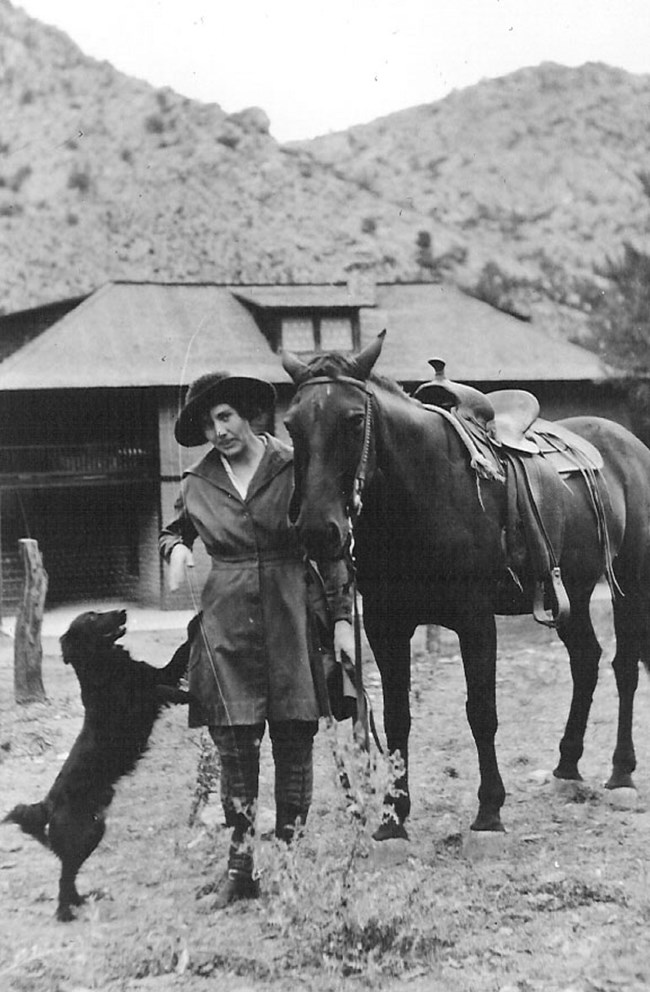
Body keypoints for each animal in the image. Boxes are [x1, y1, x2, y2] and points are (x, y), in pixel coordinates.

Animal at [4, 608, 195, 928]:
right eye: (92, 617)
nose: (123, 611)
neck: (106, 665)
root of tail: (46, 805)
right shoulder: (136, 704)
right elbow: (159, 690)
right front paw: (191, 697)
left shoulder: (159, 673)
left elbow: (178, 656)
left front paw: (197, 622)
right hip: (79, 834)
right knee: (63, 876)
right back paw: (64, 913)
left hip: (94, 829)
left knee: (69, 874)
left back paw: (79, 900)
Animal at [282, 332, 650, 836]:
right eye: (291, 424)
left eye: (355, 419)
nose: (320, 530)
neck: (422, 493)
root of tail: (627, 443)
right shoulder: (384, 624)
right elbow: (397, 717)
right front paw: (392, 817)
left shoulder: (475, 620)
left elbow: (481, 712)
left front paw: (489, 811)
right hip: (571, 592)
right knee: (587, 661)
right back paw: (567, 765)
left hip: (629, 582)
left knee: (624, 667)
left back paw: (621, 772)